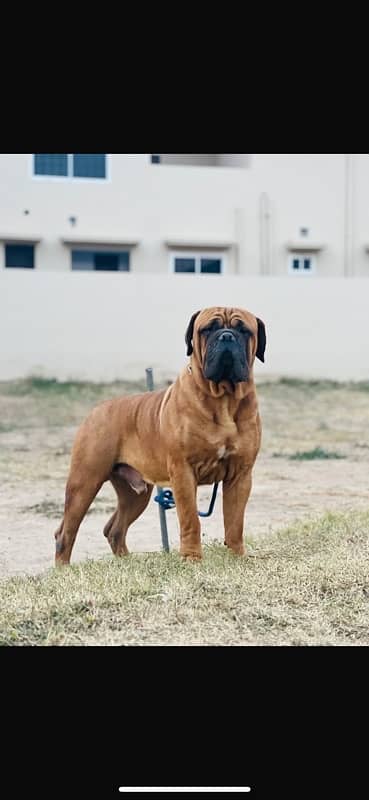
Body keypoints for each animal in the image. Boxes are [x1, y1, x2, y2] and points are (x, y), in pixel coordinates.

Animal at [54, 304, 264, 564]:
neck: (223, 398)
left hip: (135, 494)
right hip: (84, 482)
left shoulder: (240, 474)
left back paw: (126, 562)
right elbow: (190, 519)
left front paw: (237, 556)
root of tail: (96, 410)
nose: (226, 336)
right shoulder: (183, 472)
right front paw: (191, 558)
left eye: (244, 330)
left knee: (114, 528)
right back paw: (63, 568)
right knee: (66, 532)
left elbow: (235, 520)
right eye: (208, 329)